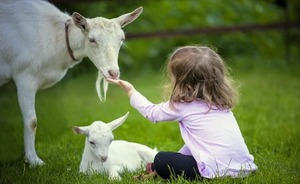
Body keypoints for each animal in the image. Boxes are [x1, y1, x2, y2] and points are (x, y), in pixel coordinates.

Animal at [0, 0, 143, 166]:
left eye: (121, 39)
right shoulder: (25, 76)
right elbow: (31, 121)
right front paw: (34, 160)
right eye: (91, 40)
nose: (113, 73)